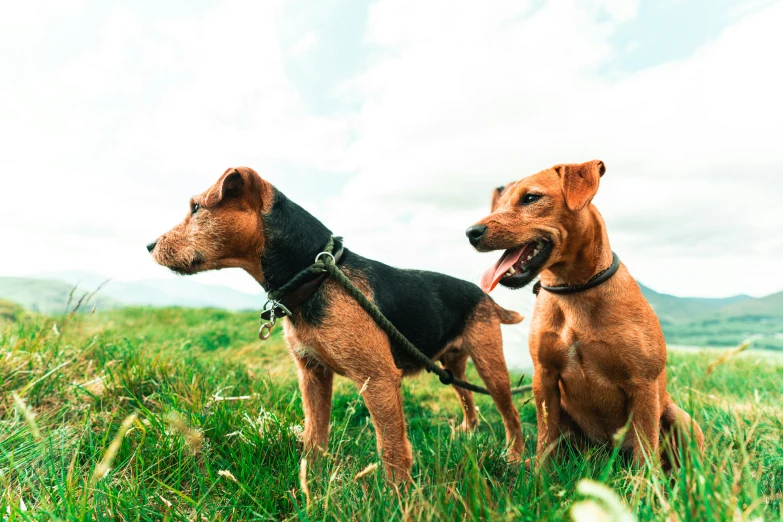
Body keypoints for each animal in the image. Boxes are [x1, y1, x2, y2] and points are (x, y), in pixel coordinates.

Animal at [147, 166, 528, 480]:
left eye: (196, 208)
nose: (150, 245)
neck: (315, 276)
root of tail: (485, 297)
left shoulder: (378, 380)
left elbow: (391, 449)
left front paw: (398, 498)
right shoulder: (312, 373)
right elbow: (315, 434)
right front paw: (311, 481)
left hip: (490, 365)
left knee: (511, 414)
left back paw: (514, 457)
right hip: (452, 364)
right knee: (468, 398)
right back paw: (468, 433)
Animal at [466, 160, 704, 466]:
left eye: (530, 198)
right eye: (498, 205)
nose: (471, 232)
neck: (574, 291)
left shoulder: (643, 384)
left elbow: (645, 452)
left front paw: (643, 482)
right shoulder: (545, 379)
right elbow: (545, 442)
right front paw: (539, 476)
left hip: (681, 418)